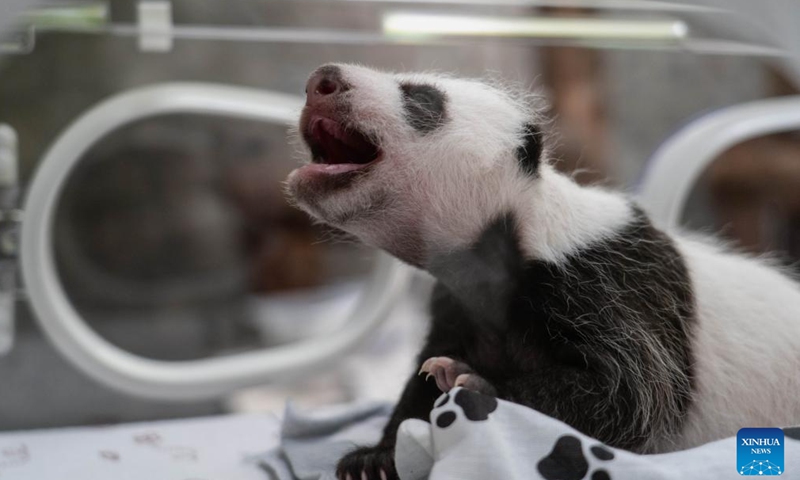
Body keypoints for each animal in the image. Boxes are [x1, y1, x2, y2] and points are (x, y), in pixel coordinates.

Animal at [285, 63, 800, 480]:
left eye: (422, 98)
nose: (321, 81)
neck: (514, 234)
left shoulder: (603, 285)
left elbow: (630, 396)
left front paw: (474, 386)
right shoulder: (459, 303)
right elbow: (420, 375)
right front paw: (375, 458)